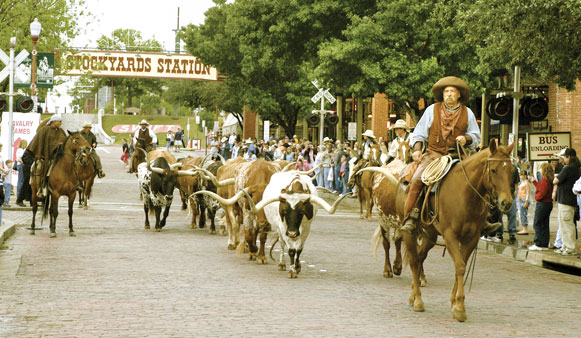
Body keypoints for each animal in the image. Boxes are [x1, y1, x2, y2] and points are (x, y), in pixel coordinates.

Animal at [360, 141, 516, 322]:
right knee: (411, 259)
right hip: (404, 229)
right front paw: (460, 307)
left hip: (429, 235)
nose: (506, 202)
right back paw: (416, 299)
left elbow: (460, 266)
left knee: (420, 257)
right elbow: (460, 266)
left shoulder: (472, 238)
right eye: (494, 170)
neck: (465, 194)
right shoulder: (450, 236)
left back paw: (413, 294)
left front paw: (454, 302)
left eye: (511, 171)